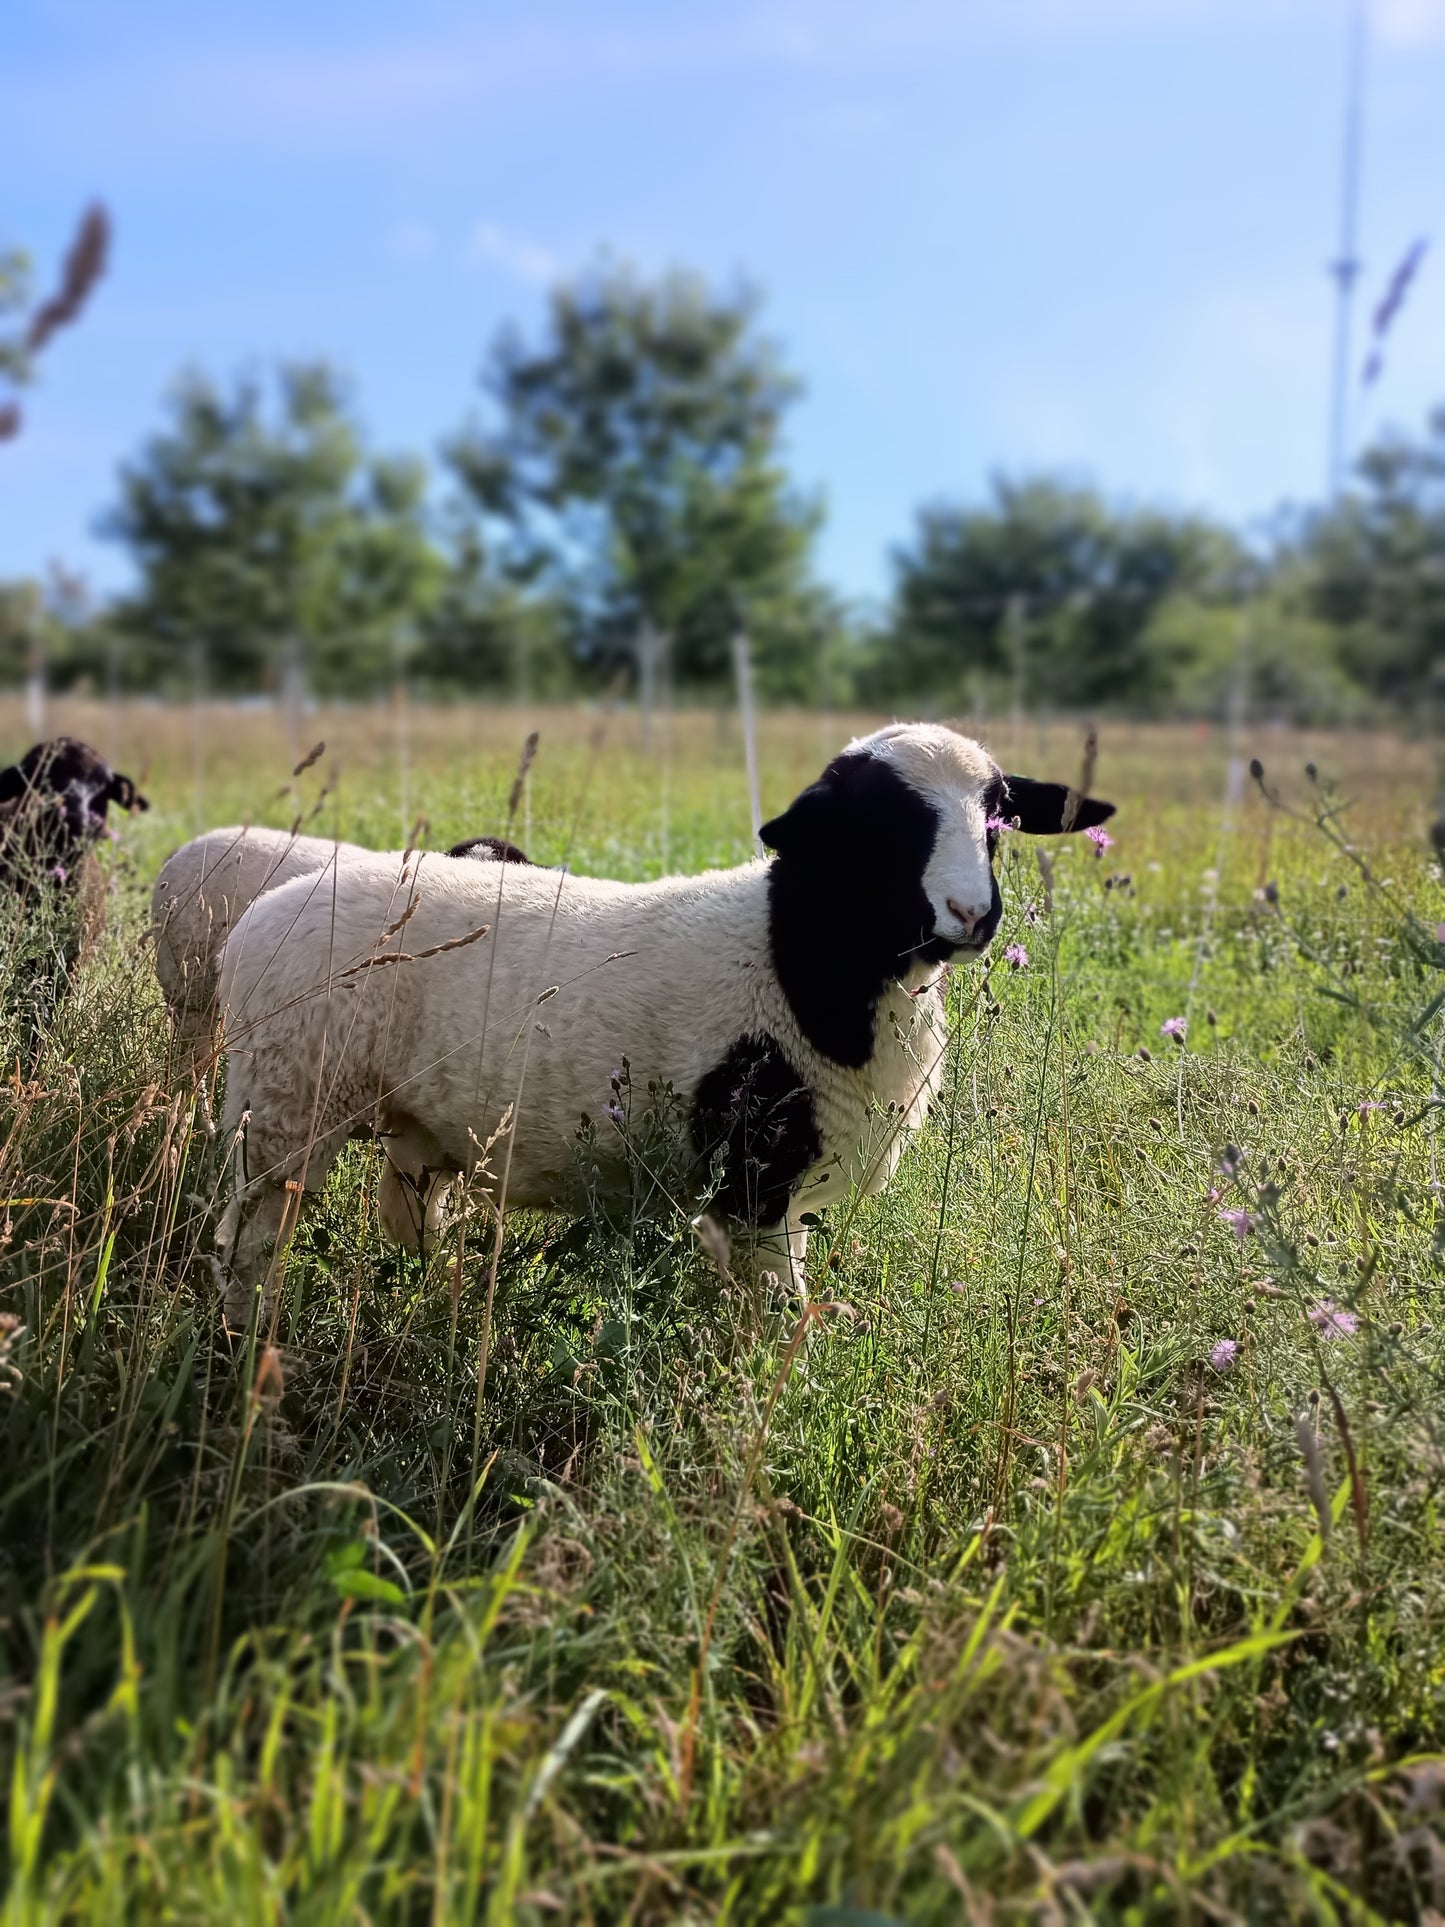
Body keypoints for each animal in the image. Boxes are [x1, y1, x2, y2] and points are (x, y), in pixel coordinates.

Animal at [212, 722, 1115, 1314]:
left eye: (998, 814)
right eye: (878, 822)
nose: (974, 914)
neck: (798, 956)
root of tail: (259, 919)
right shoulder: (753, 1174)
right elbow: (773, 1316)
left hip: (407, 1120)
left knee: (405, 1217)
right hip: (285, 1107)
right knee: (248, 1246)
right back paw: (251, 1345)